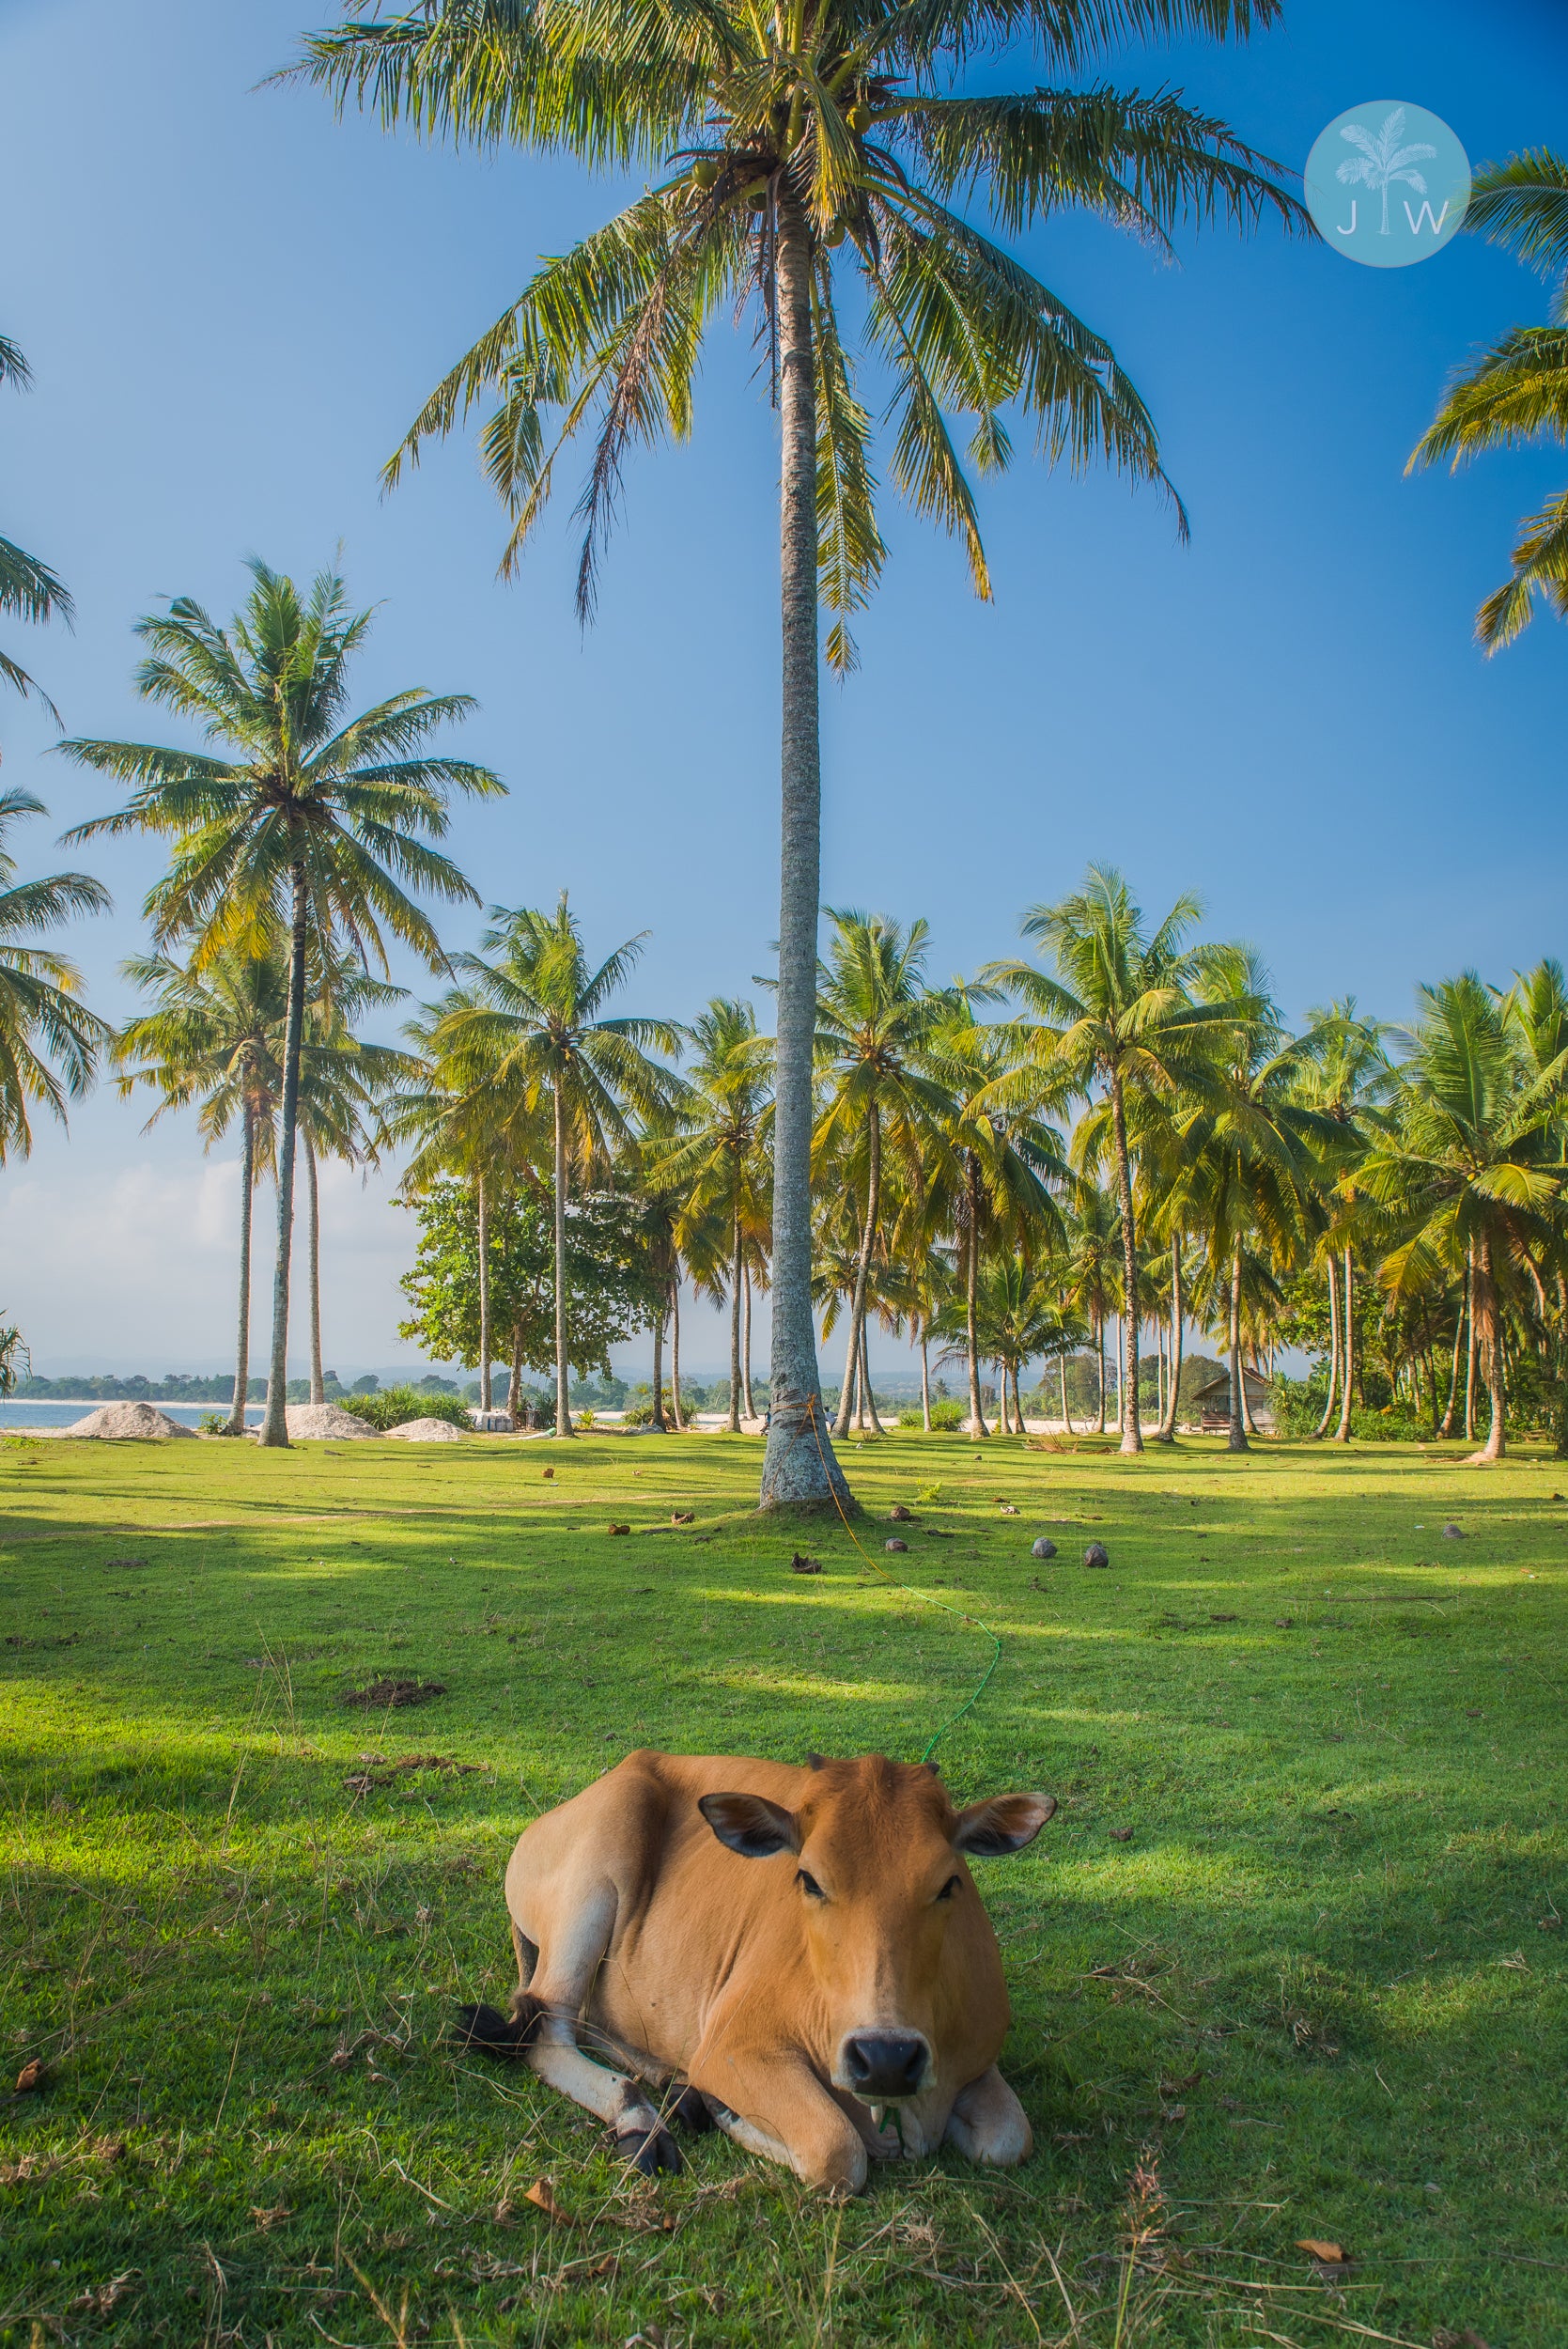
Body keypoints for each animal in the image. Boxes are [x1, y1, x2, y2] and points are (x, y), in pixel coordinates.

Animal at [459, 1757, 1061, 2189]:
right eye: (809, 1879)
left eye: (948, 1882)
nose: (886, 2058)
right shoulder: (733, 2047)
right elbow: (836, 2152)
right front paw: (722, 2110)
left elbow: (1010, 2139)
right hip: (598, 1867)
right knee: (548, 2031)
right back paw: (643, 2117)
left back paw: (669, 2083)